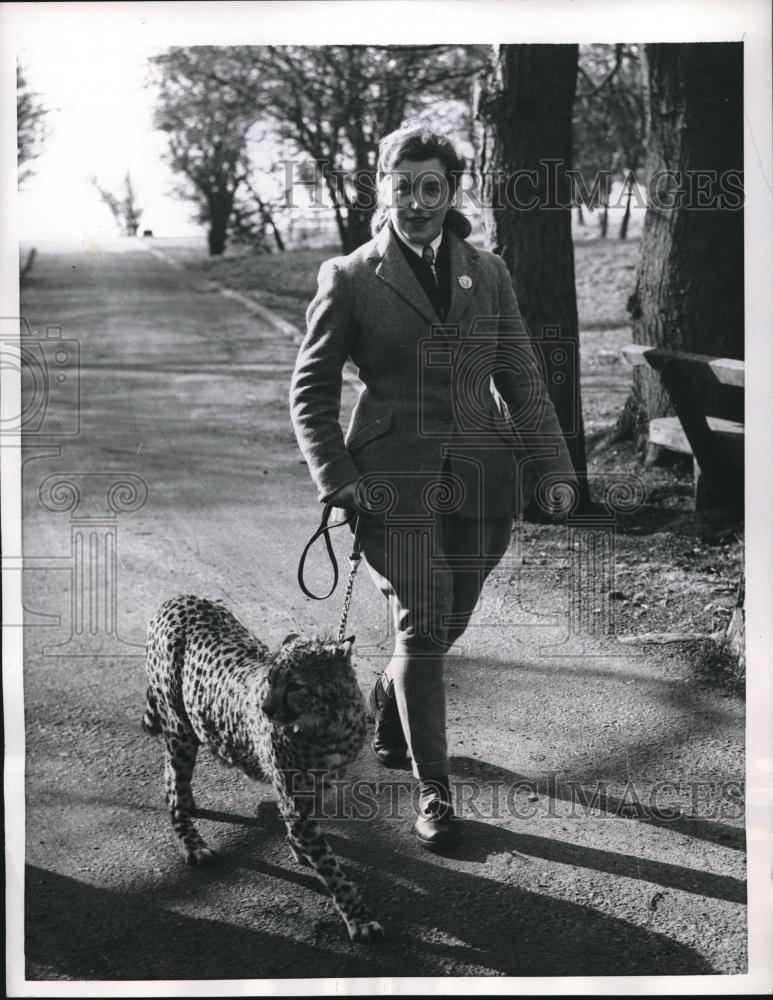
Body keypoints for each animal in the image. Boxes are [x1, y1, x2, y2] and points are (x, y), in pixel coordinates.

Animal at [142, 596, 382, 940]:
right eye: (270, 680)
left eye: (295, 686)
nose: (266, 708)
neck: (328, 724)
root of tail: (179, 599)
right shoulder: (295, 800)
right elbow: (333, 869)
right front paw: (359, 917)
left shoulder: (315, 789)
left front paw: (298, 849)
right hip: (178, 728)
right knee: (172, 785)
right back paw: (193, 843)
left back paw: (190, 804)